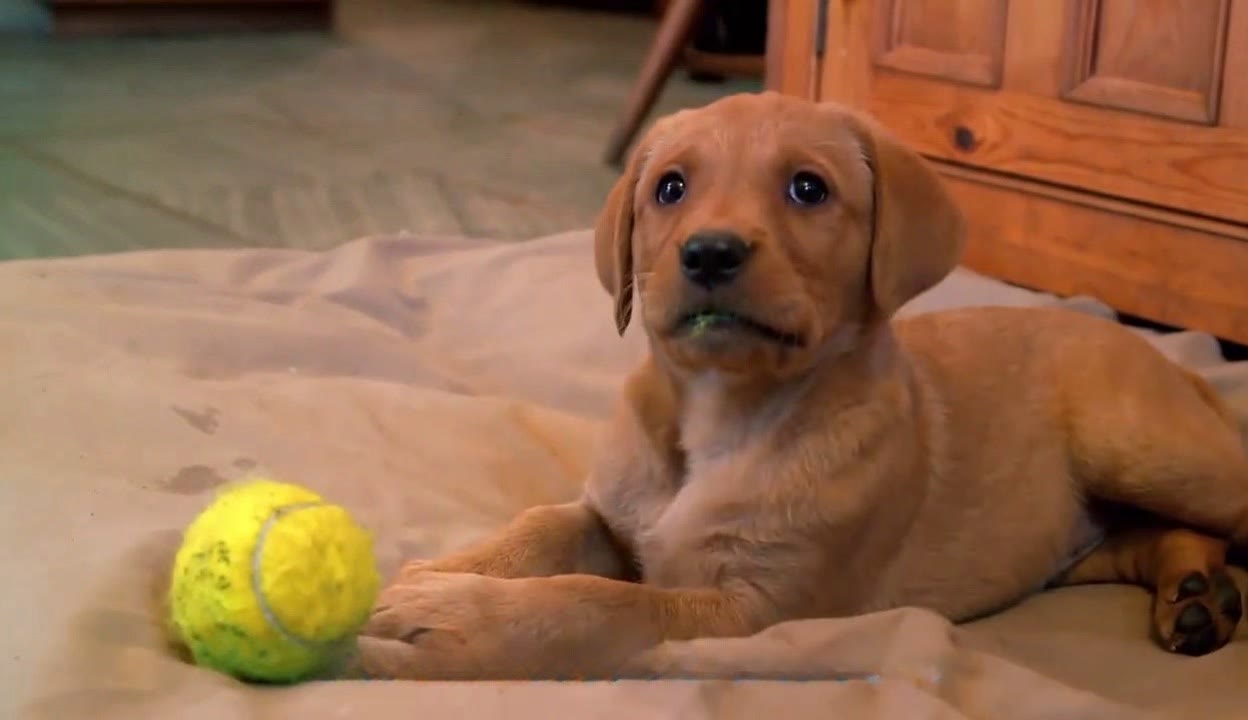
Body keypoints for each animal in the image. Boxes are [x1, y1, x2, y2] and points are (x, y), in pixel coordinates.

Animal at [354, 91, 1248, 678]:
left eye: (808, 188)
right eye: (670, 187)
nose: (710, 252)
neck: (722, 413)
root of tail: (1161, 356)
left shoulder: (759, 608)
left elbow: (603, 602)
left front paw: (453, 620)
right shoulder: (611, 516)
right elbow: (541, 528)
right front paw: (441, 574)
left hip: (1143, 450)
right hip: (1083, 528)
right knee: (1156, 536)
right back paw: (1197, 594)